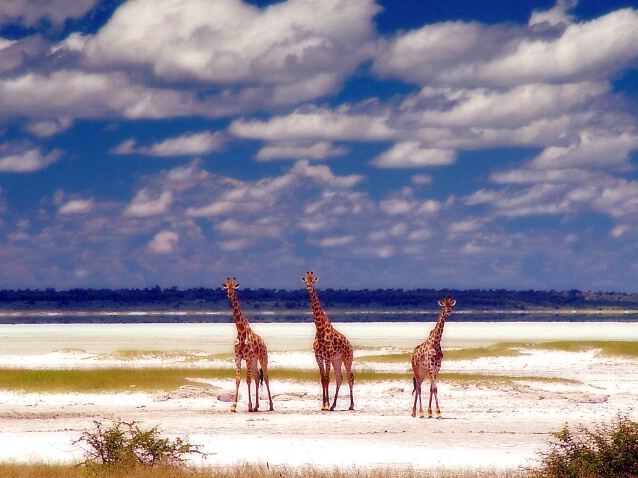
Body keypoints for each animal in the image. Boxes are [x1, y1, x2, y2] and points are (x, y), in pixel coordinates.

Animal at [224, 278, 274, 412]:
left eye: (234, 287)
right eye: (227, 287)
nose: (229, 294)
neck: (240, 332)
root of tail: (264, 343)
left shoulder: (247, 357)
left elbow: (247, 380)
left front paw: (249, 406)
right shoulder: (237, 357)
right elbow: (237, 380)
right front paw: (233, 406)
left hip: (263, 358)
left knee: (265, 378)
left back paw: (271, 405)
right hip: (254, 360)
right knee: (257, 378)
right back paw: (257, 406)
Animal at [304, 270, 358, 412]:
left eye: (313, 281)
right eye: (306, 281)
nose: (309, 287)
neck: (320, 329)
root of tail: (350, 345)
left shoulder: (327, 357)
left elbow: (327, 379)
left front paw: (326, 404)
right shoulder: (318, 356)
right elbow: (323, 379)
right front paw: (324, 405)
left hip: (347, 358)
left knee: (350, 378)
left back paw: (351, 405)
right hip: (337, 360)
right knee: (340, 378)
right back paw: (334, 405)